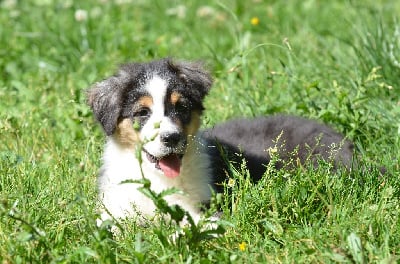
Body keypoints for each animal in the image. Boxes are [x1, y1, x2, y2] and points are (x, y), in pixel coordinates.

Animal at [87, 57, 354, 225]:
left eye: (181, 107)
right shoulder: (115, 206)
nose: (172, 137)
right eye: (142, 112)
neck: (156, 179)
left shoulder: (204, 207)